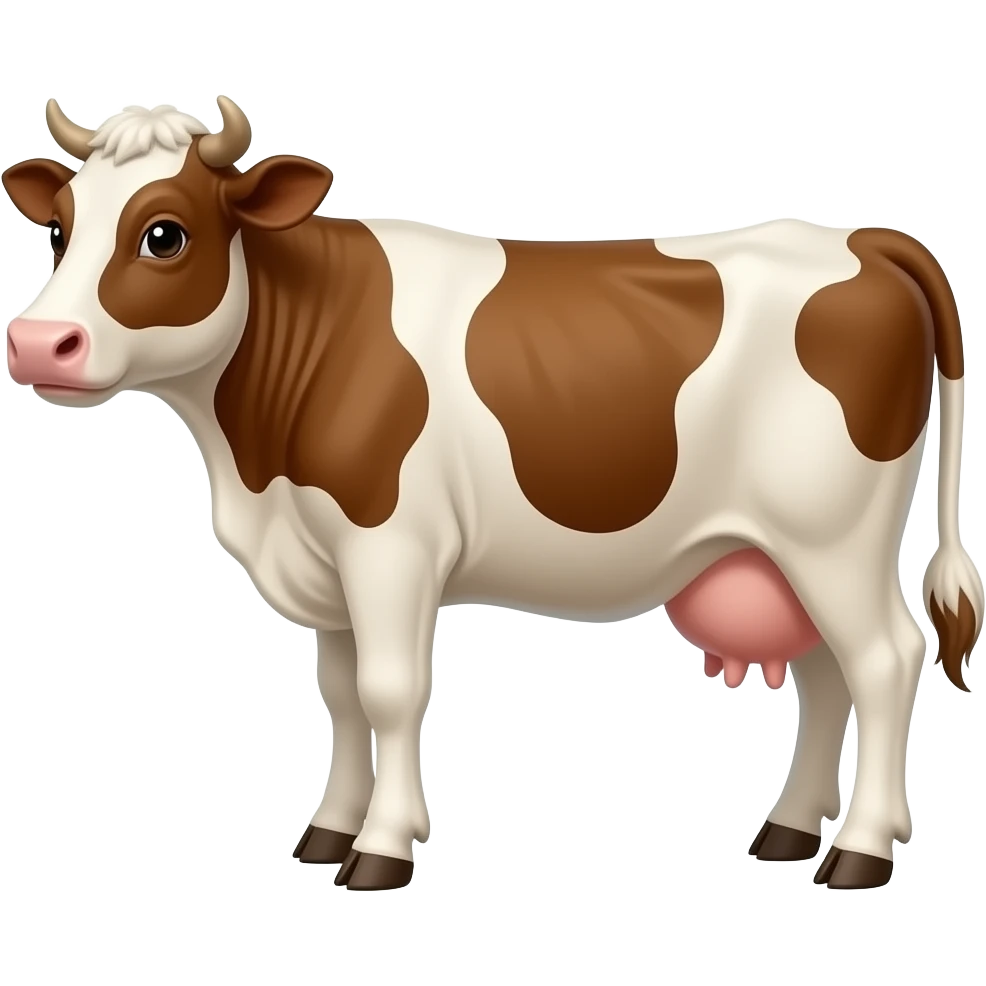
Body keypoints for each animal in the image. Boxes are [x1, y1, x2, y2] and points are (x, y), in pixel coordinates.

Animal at [2, 98, 981, 892]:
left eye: (163, 234)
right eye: (57, 232)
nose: (38, 342)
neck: (254, 463)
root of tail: (860, 237)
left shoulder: (389, 545)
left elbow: (390, 690)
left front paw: (382, 851)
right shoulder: (326, 560)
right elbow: (342, 693)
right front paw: (328, 832)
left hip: (833, 536)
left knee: (885, 661)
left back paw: (859, 852)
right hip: (782, 551)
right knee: (826, 674)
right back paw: (788, 832)